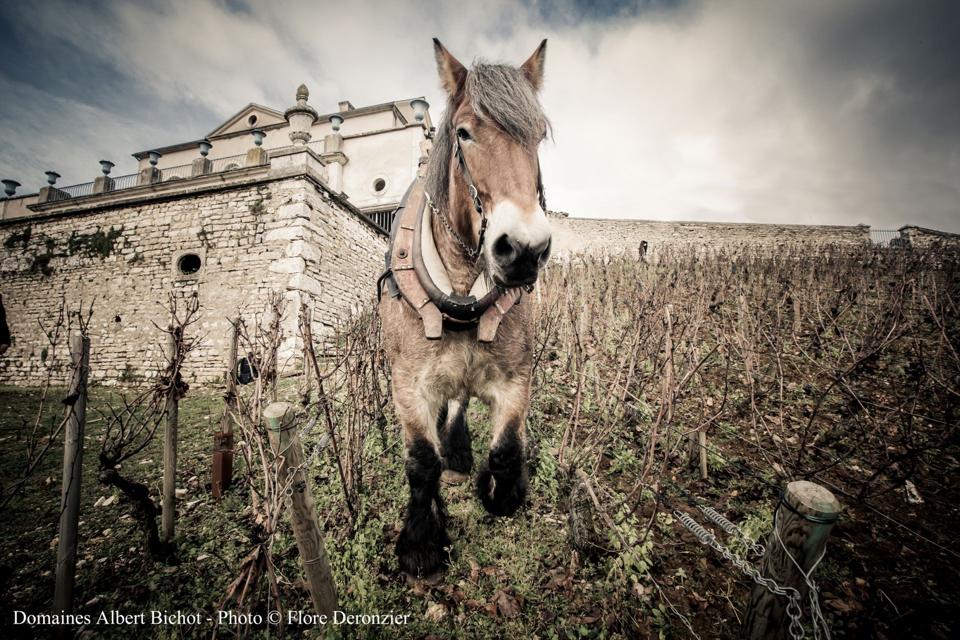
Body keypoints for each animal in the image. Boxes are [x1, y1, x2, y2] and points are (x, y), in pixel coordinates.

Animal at [378, 38, 552, 580]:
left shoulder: (516, 379)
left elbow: (505, 453)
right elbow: (421, 463)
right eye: (464, 132)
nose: (524, 250)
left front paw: (498, 489)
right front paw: (422, 540)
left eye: (539, 135)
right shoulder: (407, 385)